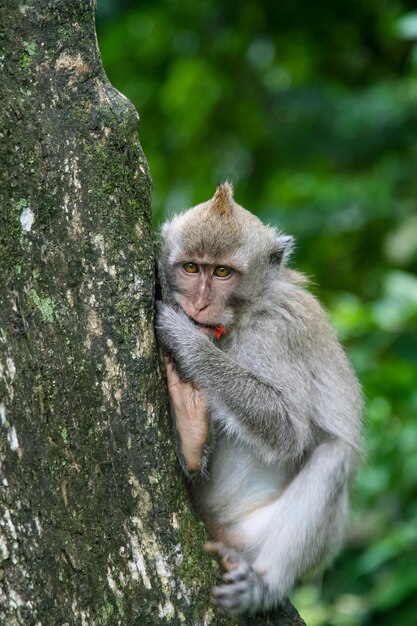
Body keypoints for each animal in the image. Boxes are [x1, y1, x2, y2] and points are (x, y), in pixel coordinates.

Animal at [155, 182, 360, 616]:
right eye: (191, 268)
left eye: (222, 272)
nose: (199, 304)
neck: (239, 320)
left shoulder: (277, 332)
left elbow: (287, 430)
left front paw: (187, 341)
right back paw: (192, 431)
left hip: (249, 538)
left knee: (334, 456)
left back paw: (264, 586)